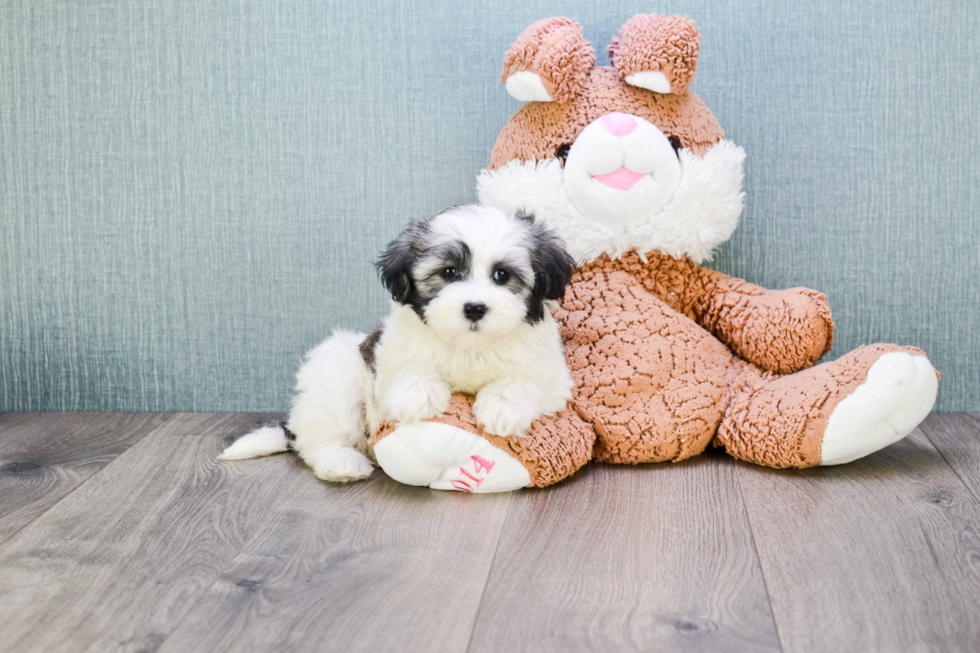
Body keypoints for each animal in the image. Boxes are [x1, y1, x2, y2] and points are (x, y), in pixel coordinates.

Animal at [220, 206, 576, 482]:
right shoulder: (388, 354)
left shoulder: (554, 379)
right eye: (449, 272)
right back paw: (341, 463)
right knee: (319, 437)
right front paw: (417, 396)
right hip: (337, 374)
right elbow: (407, 370)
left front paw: (502, 406)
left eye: (502, 275)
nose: (474, 307)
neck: (468, 347)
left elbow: (525, 381)